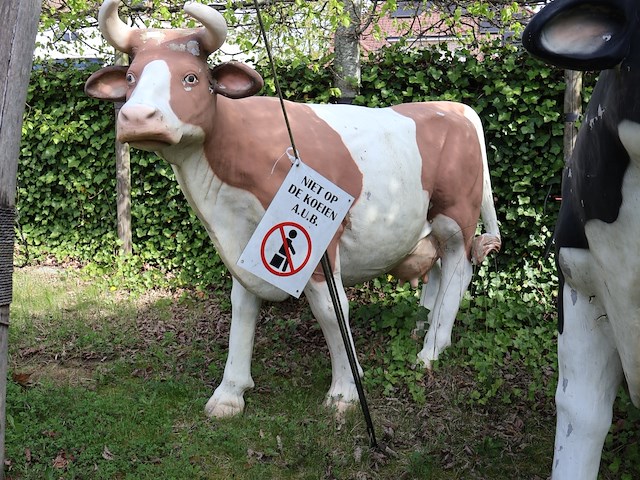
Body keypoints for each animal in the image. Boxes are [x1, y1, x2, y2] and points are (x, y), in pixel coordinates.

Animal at [85, 0, 501, 418]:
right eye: (132, 77)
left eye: (191, 77)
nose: (137, 118)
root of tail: (456, 108)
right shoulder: (244, 242)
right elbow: (242, 309)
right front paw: (229, 393)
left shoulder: (318, 241)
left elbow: (332, 312)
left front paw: (345, 392)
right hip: (427, 225)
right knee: (439, 271)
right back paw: (423, 329)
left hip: (456, 217)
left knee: (458, 272)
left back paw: (431, 350)